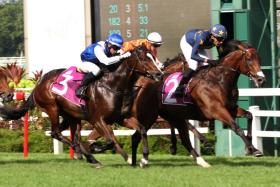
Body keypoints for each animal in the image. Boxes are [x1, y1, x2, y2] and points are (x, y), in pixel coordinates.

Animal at [0, 45, 161, 168]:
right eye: (144, 58)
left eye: (153, 56)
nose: (159, 73)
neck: (113, 85)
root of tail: (40, 82)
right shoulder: (97, 120)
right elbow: (110, 140)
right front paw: (121, 156)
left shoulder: (122, 118)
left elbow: (142, 129)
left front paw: (144, 159)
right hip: (52, 108)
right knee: (57, 133)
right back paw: (88, 156)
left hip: (71, 116)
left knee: (69, 136)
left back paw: (85, 155)